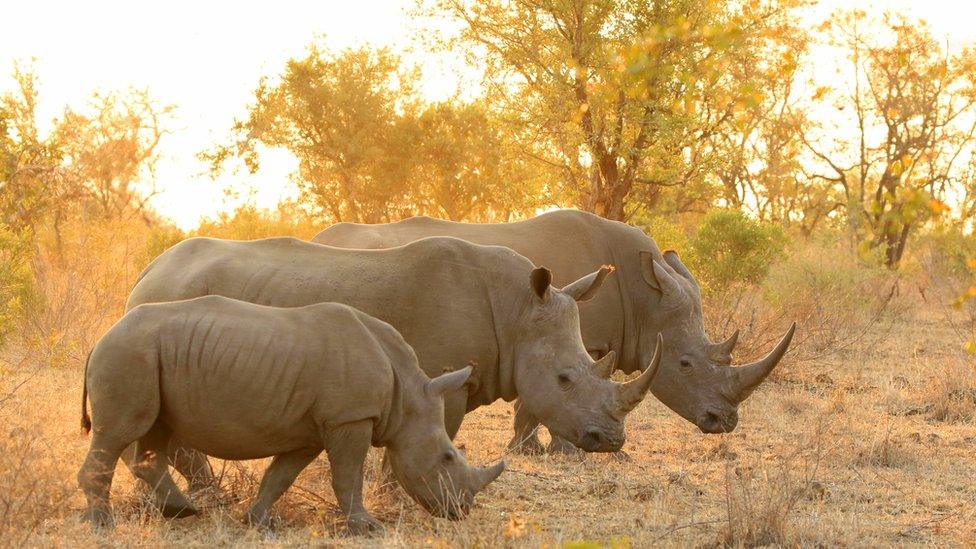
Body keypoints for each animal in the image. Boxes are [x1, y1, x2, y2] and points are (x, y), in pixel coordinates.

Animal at [78, 296, 504, 532]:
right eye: (447, 458)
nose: (462, 510)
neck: (408, 396)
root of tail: (101, 338)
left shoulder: (313, 430)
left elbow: (280, 475)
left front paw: (259, 522)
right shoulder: (350, 418)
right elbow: (347, 476)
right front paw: (367, 528)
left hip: (145, 355)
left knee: (155, 432)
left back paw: (182, 512)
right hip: (130, 353)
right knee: (119, 433)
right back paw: (103, 524)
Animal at [126, 235, 660, 488]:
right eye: (565, 378)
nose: (611, 441)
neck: (516, 311)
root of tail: (148, 270)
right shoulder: (443, 381)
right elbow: (429, 437)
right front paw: (400, 492)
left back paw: (206, 493)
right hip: (171, 299)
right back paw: (205, 494)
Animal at [316, 210, 796, 450]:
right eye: (685, 364)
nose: (724, 423)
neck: (645, 297)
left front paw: (529, 449)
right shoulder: (577, 337)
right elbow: (551, 396)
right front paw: (554, 452)